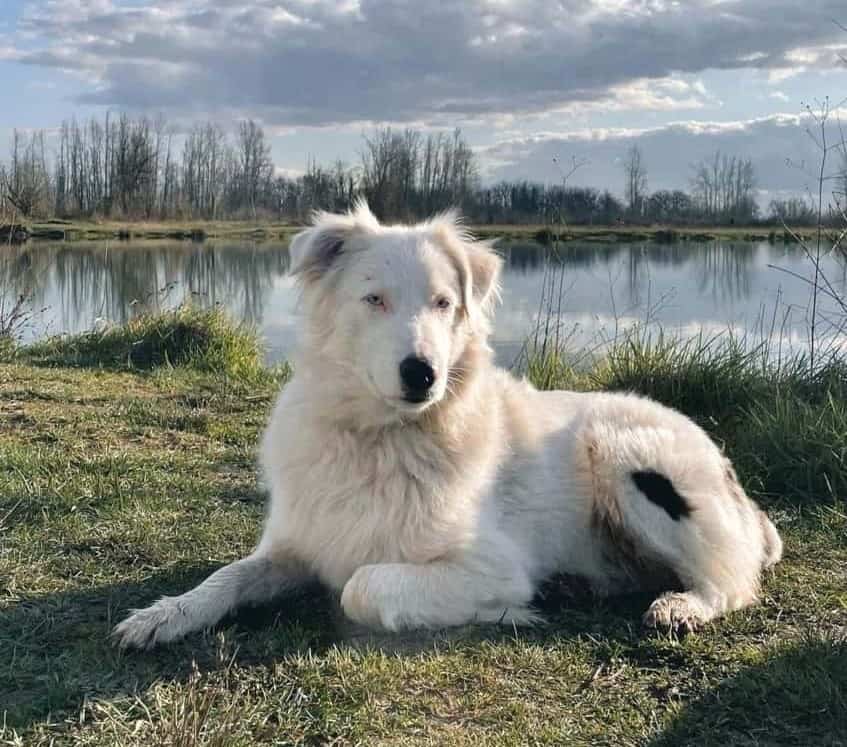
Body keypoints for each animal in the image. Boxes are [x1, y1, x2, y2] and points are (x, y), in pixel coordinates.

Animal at [112, 205, 780, 648]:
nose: (422, 374)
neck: (382, 437)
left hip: (627, 456)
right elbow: (226, 576)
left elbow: (362, 584)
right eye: (374, 299)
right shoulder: (295, 543)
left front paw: (510, 612)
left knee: (732, 579)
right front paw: (163, 614)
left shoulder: (492, 566)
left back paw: (681, 606)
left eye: (443, 303)